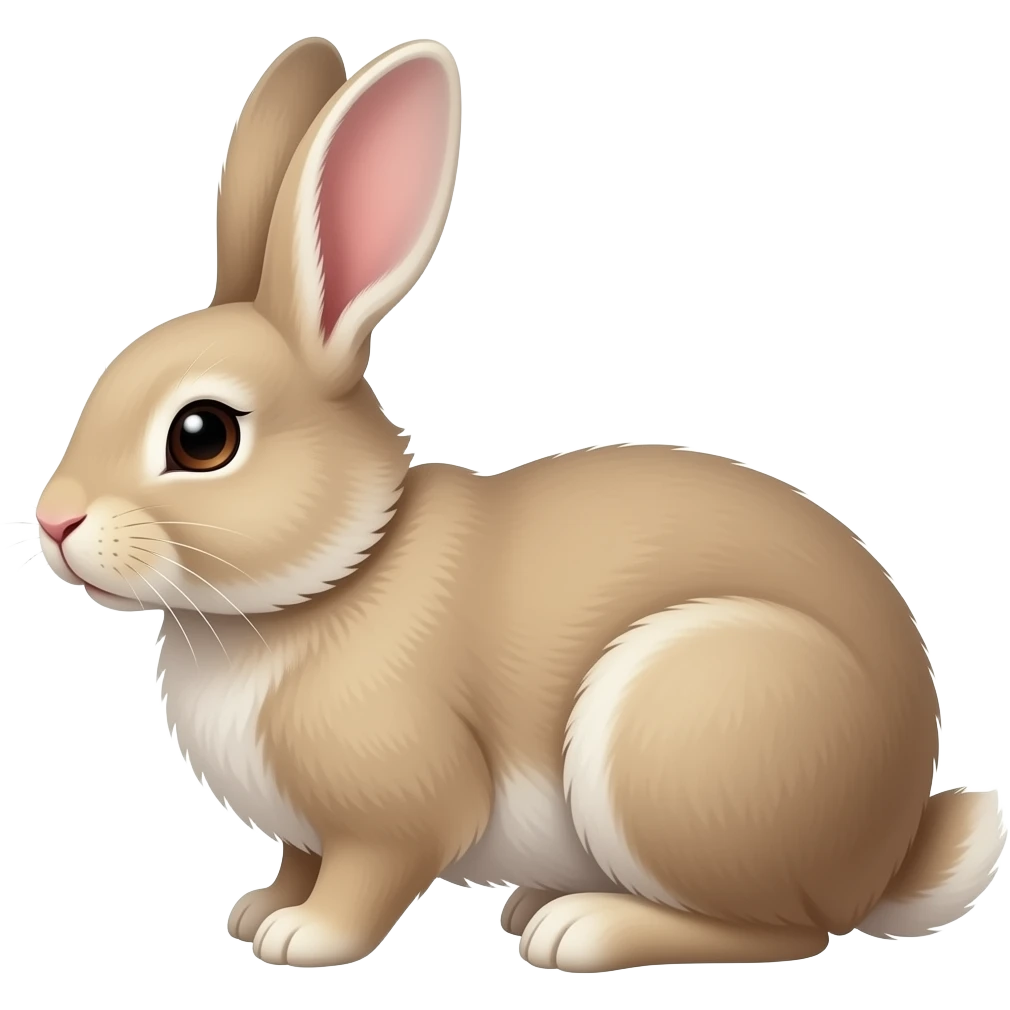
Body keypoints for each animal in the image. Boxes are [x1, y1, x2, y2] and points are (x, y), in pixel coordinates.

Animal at [28, 36, 1006, 972]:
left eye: (203, 437)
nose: (56, 521)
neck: (337, 574)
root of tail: (887, 853)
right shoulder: (308, 832)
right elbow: (301, 861)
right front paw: (258, 910)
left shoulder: (399, 808)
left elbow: (368, 875)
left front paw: (305, 939)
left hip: (681, 730)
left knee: (786, 932)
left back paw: (582, 930)